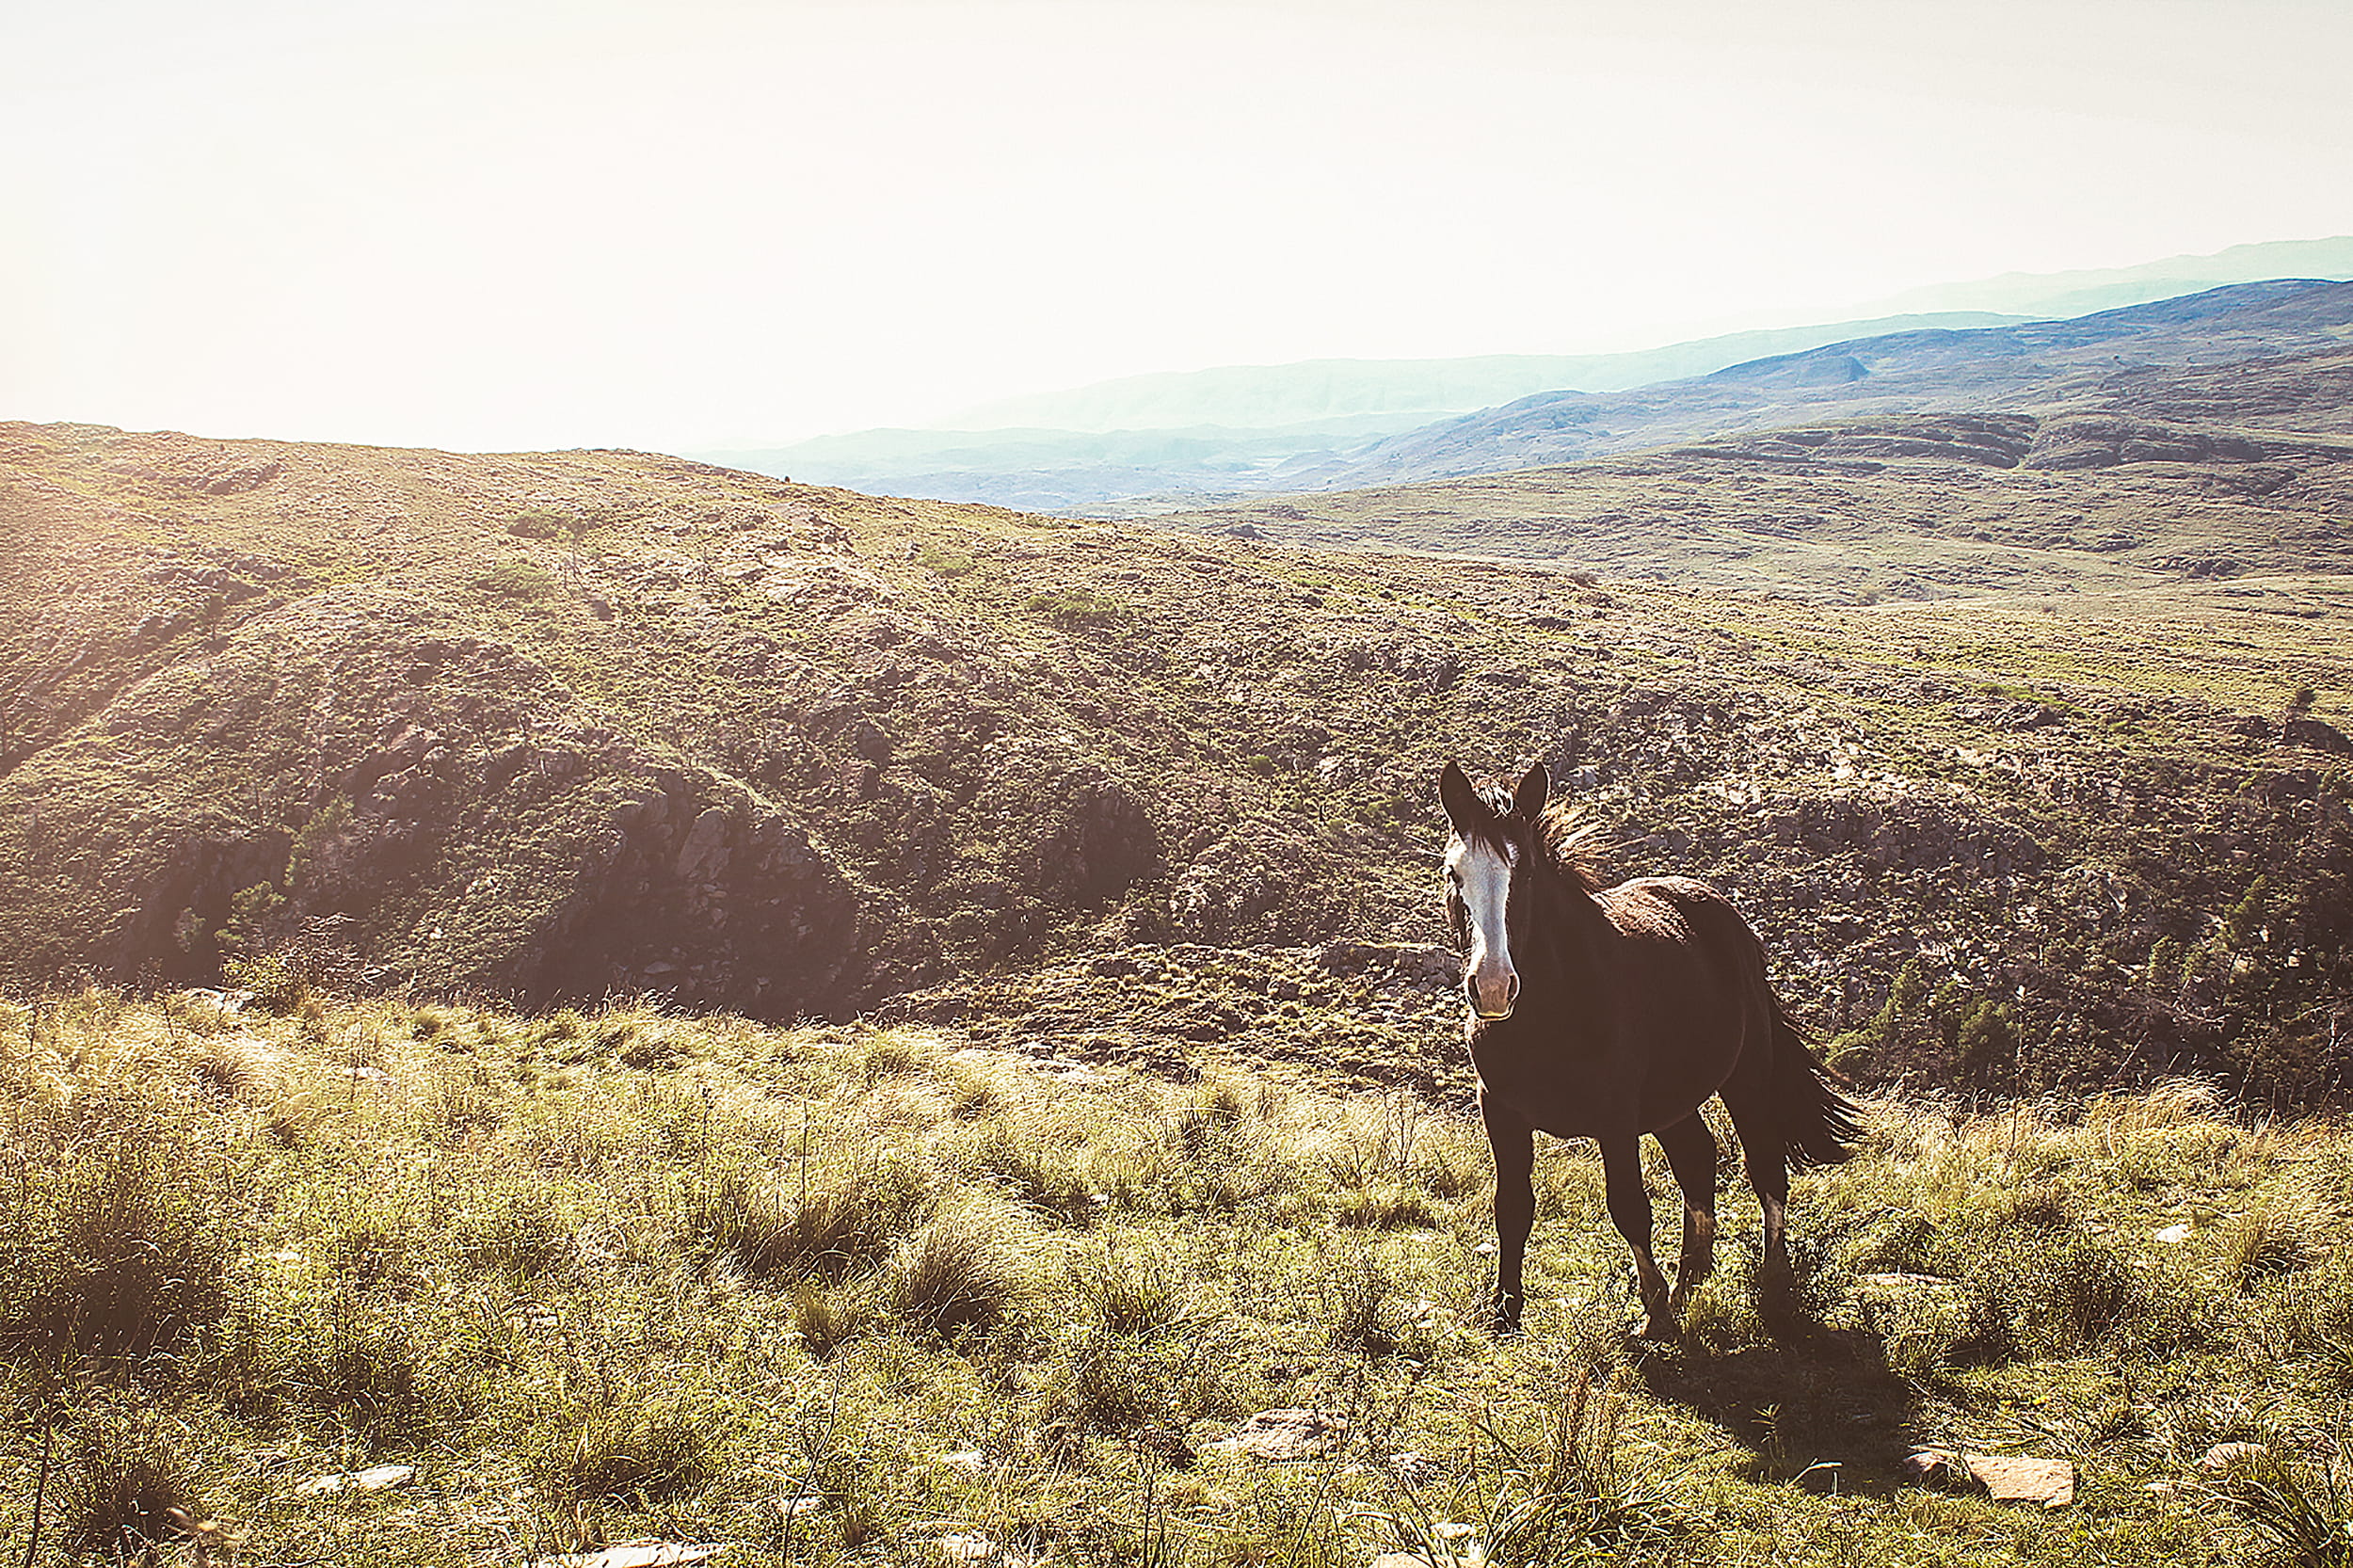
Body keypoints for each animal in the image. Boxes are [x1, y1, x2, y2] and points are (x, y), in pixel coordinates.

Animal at [1438, 759, 1866, 1339]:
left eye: (1522, 875)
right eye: (1454, 874)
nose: (1491, 987)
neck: (1552, 1010)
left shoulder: (1615, 1116)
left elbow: (1629, 1206)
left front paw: (1655, 1314)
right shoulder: (1500, 1110)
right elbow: (1513, 1206)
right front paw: (1505, 1309)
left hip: (1747, 1076)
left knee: (1765, 1165)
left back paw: (1772, 1281)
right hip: (1672, 1100)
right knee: (1697, 1158)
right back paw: (1690, 1280)